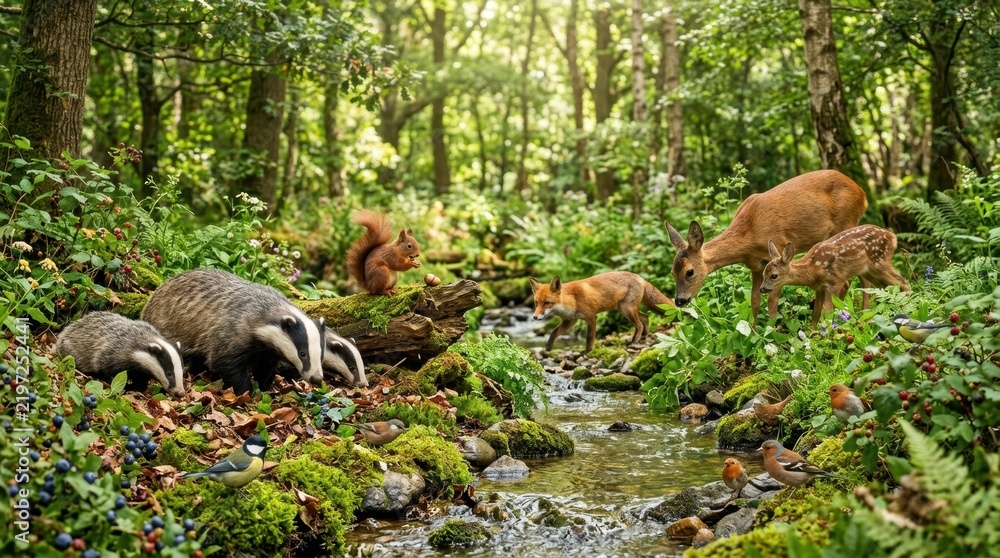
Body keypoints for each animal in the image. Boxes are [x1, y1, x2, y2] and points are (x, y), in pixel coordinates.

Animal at [529, 271, 675, 353]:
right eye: (536, 303)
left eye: (547, 303)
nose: (535, 317)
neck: (572, 300)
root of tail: (640, 277)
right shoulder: (570, 320)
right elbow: (554, 332)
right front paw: (548, 347)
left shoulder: (591, 317)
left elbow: (589, 337)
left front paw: (587, 352)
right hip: (624, 309)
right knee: (645, 318)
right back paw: (643, 337)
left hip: (627, 309)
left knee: (639, 324)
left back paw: (634, 341)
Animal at [665, 169, 868, 321]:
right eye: (672, 272)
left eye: (689, 272)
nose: (680, 301)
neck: (750, 233)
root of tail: (862, 193)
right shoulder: (756, 266)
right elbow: (754, 301)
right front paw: (753, 332)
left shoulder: (778, 251)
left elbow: (772, 301)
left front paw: (772, 333)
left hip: (846, 225)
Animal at [759, 225, 910, 329]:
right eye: (763, 274)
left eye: (774, 276)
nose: (762, 289)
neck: (812, 269)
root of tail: (893, 237)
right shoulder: (819, 288)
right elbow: (816, 312)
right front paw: (811, 334)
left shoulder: (835, 280)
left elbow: (828, 311)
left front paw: (826, 334)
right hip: (868, 271)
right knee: (880, 288)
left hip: (879, 262)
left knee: (903, 282)